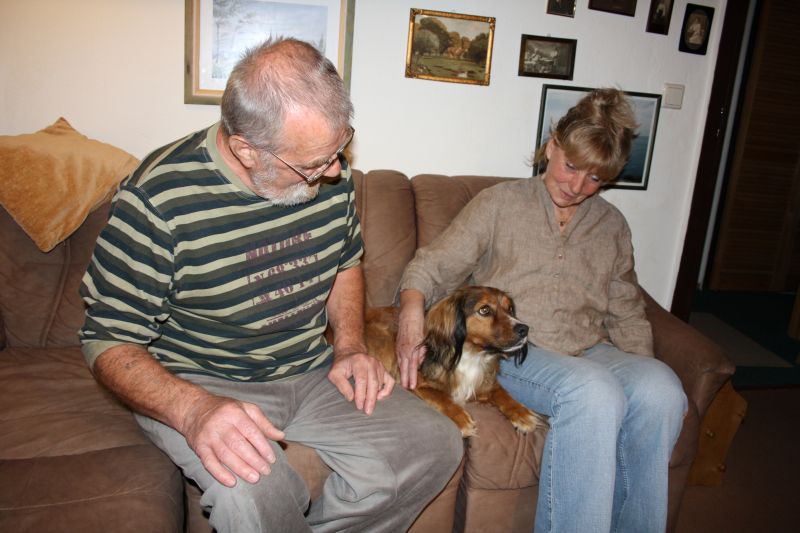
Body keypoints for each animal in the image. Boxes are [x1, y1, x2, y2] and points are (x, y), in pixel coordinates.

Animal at [366, 286, 546, 437]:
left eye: (509, 309)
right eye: (485, 310)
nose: (524, 329)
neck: (470, 355)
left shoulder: (484, 383)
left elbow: (502, 393)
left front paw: (522, 413)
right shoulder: (415, 380)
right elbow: (441, 396)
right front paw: (461, 418)